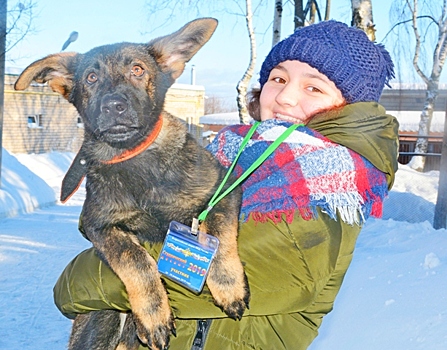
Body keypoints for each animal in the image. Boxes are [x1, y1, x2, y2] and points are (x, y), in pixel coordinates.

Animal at [14, 18, 250, 350]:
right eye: (91, 77)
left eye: (138, 70)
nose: (114, 106)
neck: (132, 157)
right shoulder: (96, 225)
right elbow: (133, 257)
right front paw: (153, 314)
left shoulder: (225, 187)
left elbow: (217, 231)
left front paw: (229, 286)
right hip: (97, 323)